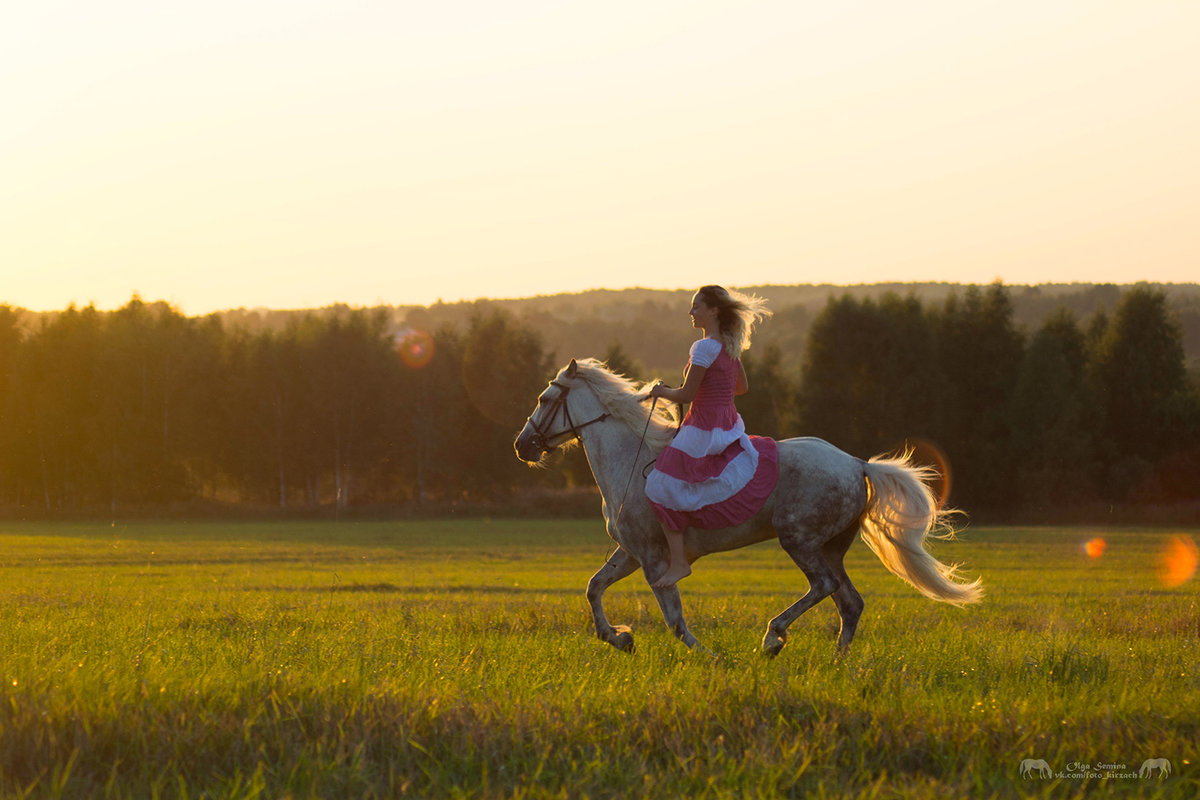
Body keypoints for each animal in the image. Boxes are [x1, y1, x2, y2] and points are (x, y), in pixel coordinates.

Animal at [511, 359, 979, 652]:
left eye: (543, 399)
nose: (522, 446)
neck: (629, 456)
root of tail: (857, 464)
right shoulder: (630, 551)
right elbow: (594, 587)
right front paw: (620, 639)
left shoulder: (653, 558)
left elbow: (675, 620)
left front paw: (711, 657)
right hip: (830, 547)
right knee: (850, 603)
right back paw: (836, 662)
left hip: (799, 540)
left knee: (825, 587)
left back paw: (772, 638)